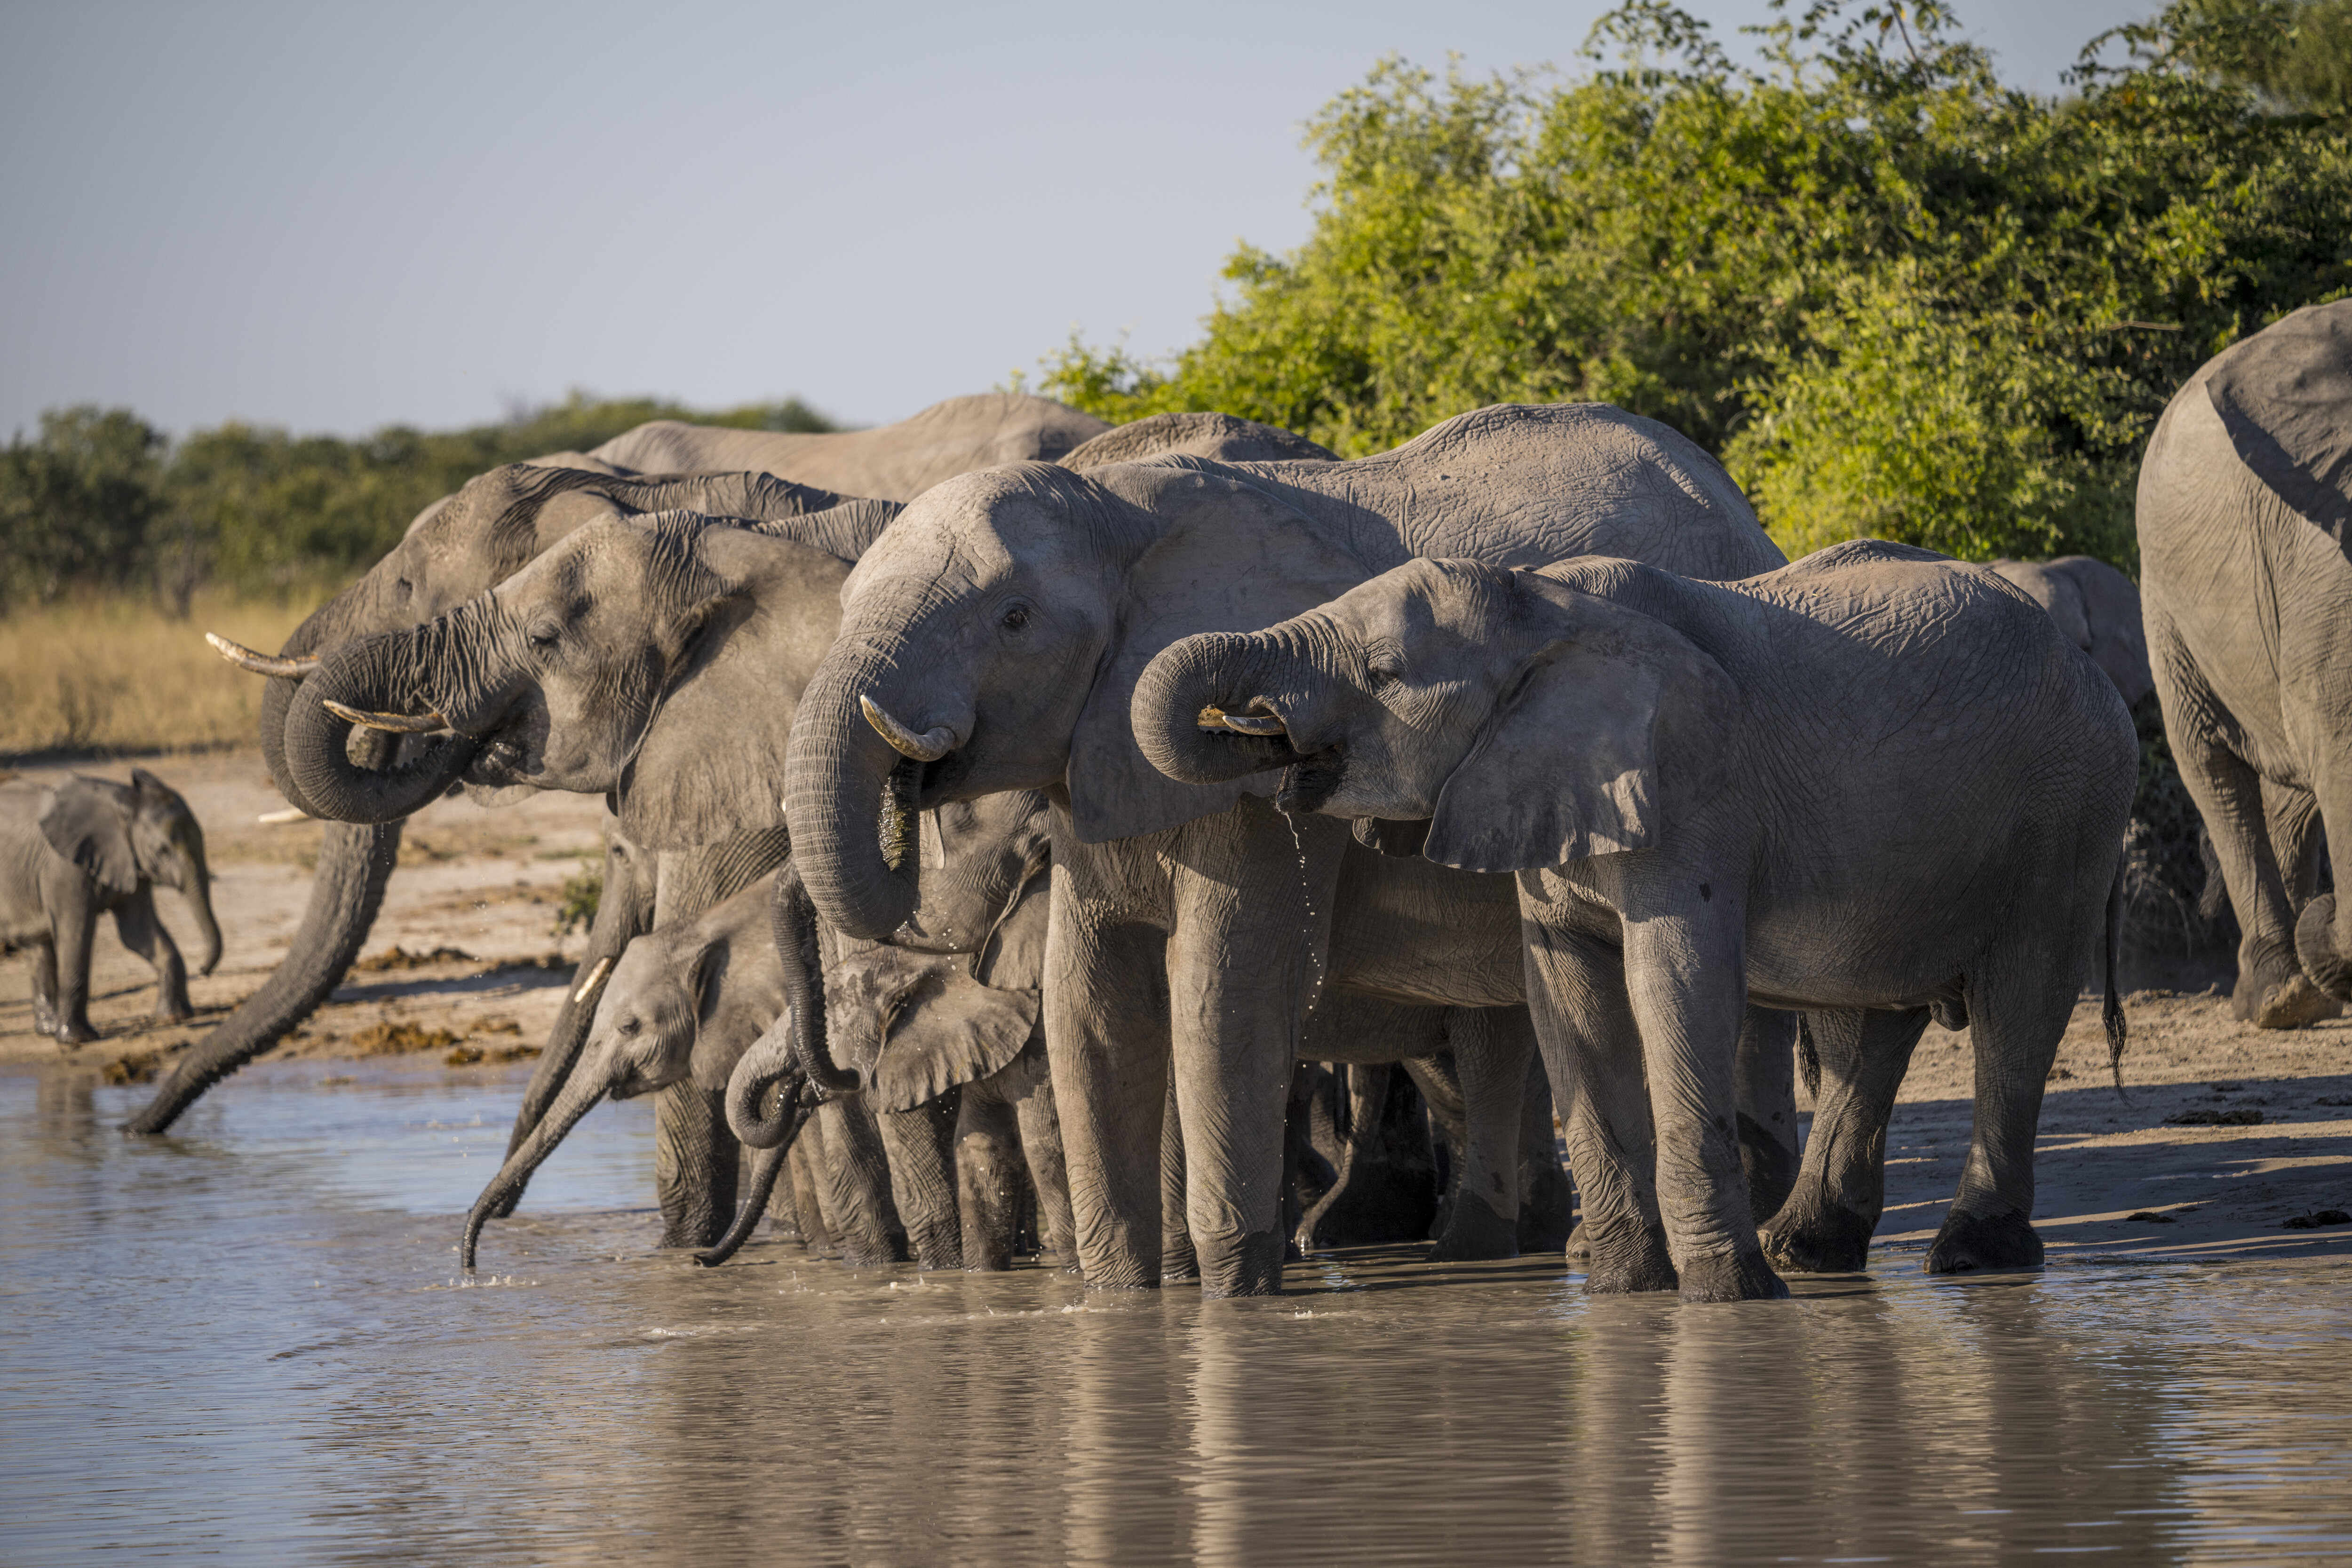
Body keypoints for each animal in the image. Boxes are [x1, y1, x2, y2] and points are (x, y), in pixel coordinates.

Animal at [0, 769, 221, 1045]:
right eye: (162, 851)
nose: (203, 970)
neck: (123, 803)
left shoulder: (131, 861)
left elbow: (137, 933)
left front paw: (175, 1017)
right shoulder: (63, 869)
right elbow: (76, 935)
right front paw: (77, 1041)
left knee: (37, 949)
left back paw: (48, 1029)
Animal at [774, 400, 1792, 1295]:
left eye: (1014, 619)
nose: (910, 775)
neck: (1116, 509)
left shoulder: (1247, 806)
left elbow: (1225, 982)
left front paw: (1230, 1296)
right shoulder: (1091, 765)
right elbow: (1090, 1002)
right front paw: (1120, 1299)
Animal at [1134, 542, 2136, 1299]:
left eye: (1383, 674)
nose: (1258, 732)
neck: (1542, 604)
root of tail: (2093, 672)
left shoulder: (1692, 789)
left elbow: (1678, 982)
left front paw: (1728, 1297)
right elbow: (1566, 992)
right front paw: (1625, 1292)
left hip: (2069, 812)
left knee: (2019, 1005)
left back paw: (1969, 1256)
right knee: (1871, 1022)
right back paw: (1807, 1250)